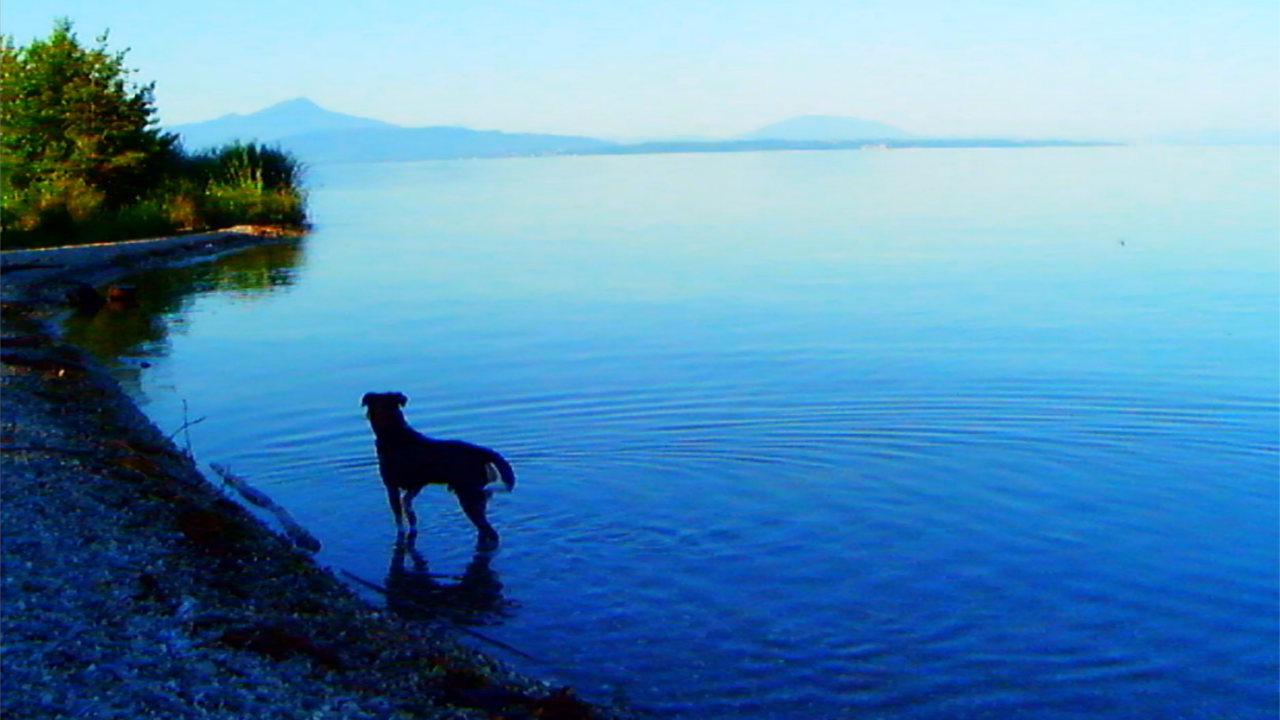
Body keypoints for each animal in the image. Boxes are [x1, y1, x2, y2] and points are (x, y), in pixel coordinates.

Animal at [360, 392, 514, 543]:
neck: (394, 432)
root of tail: (483, 453)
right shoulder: (416, 485)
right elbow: (408, 506)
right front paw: (412, 523)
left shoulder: (391, 487)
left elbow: (399, 519)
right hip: (476, 494)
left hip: (469, 497)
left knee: (490, 532)